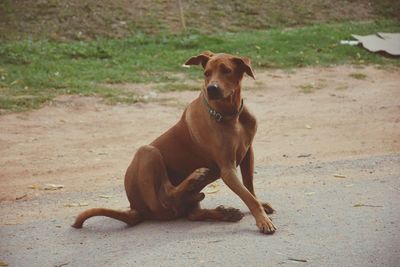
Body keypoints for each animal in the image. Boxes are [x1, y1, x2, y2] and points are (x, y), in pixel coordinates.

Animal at [72, 51, 276, 234]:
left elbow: (249, 187)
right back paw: (195, 177)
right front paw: (262, 220)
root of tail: (135, 208)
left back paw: (223, 212)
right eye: (206, 73)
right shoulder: (227, 168)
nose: (212, 88)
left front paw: (260, 206)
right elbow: (247, 196)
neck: (230, 115)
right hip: (147, 152)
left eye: (226, 70)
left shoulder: (248, 153)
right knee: (166, 196)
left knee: (192, 212)